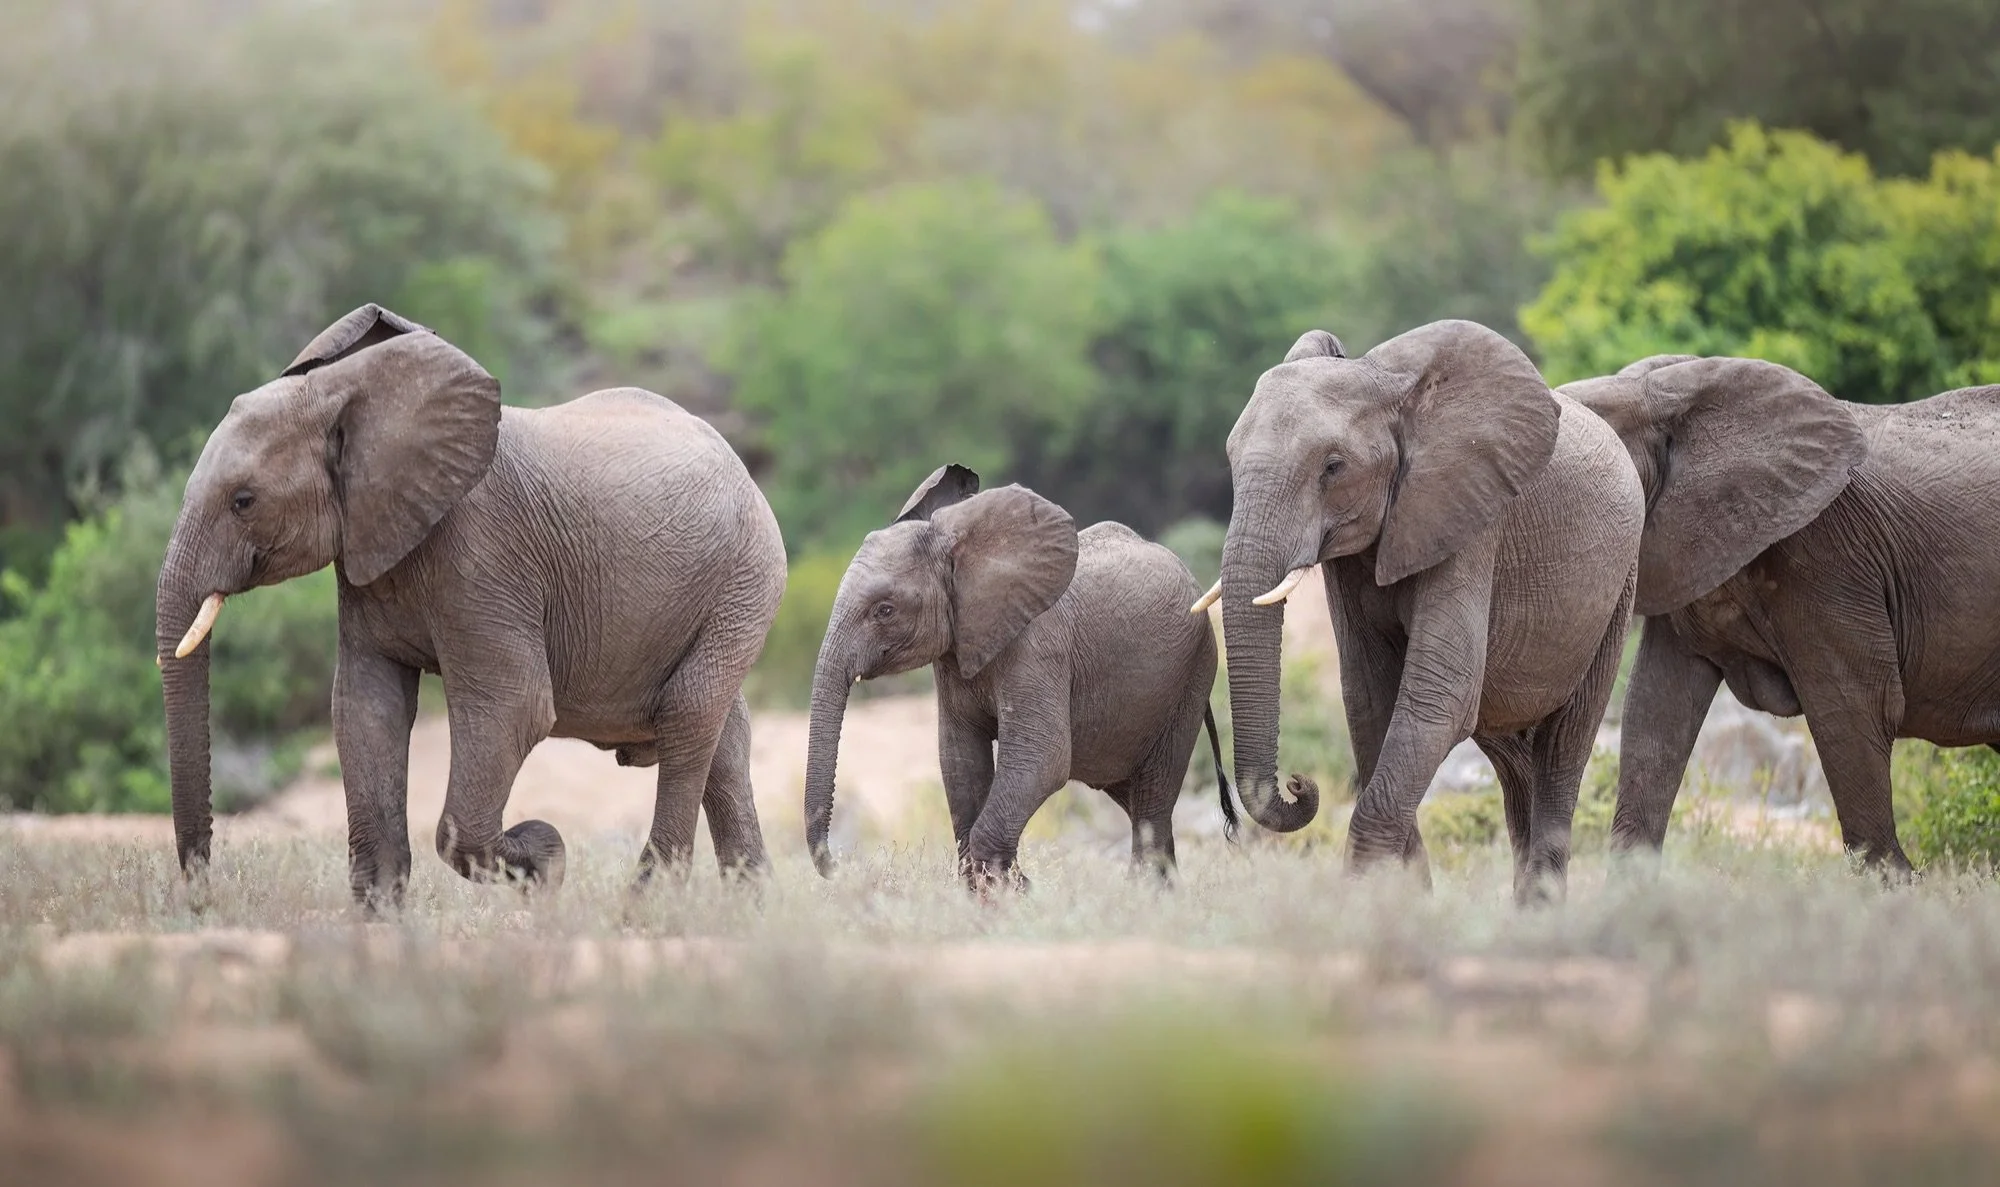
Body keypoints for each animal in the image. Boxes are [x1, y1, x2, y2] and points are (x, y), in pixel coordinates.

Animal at [155, 305, 786, 905]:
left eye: (243, 501)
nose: (202, 896)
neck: (353, 395)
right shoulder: (368, 545)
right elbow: (365, 706)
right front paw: (379, 924)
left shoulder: (484, 555)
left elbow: (514, 707)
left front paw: (546, 858)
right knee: (724, 737)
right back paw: (748, 915)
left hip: (747, 577)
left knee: (688, 714)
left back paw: (644, 911)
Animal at [802, 464, 1235, 888]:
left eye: (885, 610)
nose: (840, 869)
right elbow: (960, 758)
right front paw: (999, 890)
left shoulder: (1037, 649)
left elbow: (1043, 756)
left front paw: (1010, 889)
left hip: (1193, 673)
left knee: (1152, 797)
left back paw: (1144, 892)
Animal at [1206, 320, 1643, 903]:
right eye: (1231, 458)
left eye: (1333, 467)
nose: (1300, 785)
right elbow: (1370, 699)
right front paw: (1402, 900)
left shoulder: (1471, 518)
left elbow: (1440, 696)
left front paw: (1363, 902)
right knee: (1512, 759)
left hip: (1618, 588)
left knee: (1562, 747)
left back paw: (1540, 910)